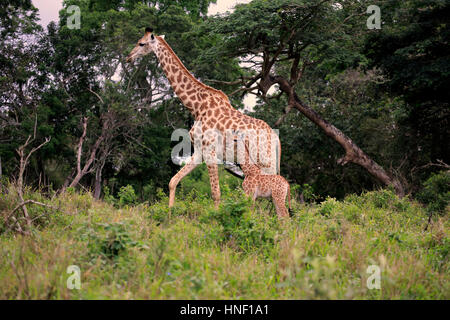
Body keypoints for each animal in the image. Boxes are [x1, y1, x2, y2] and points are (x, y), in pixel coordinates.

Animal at [127, 26, 282, 208]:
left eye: (141, 43)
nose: (129, 57)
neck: (196, 107)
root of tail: (276, 139)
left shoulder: (210, 151)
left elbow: (216, 193)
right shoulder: (199, 151)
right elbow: (173, 181)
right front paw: (169, 212)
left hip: (265, 161)